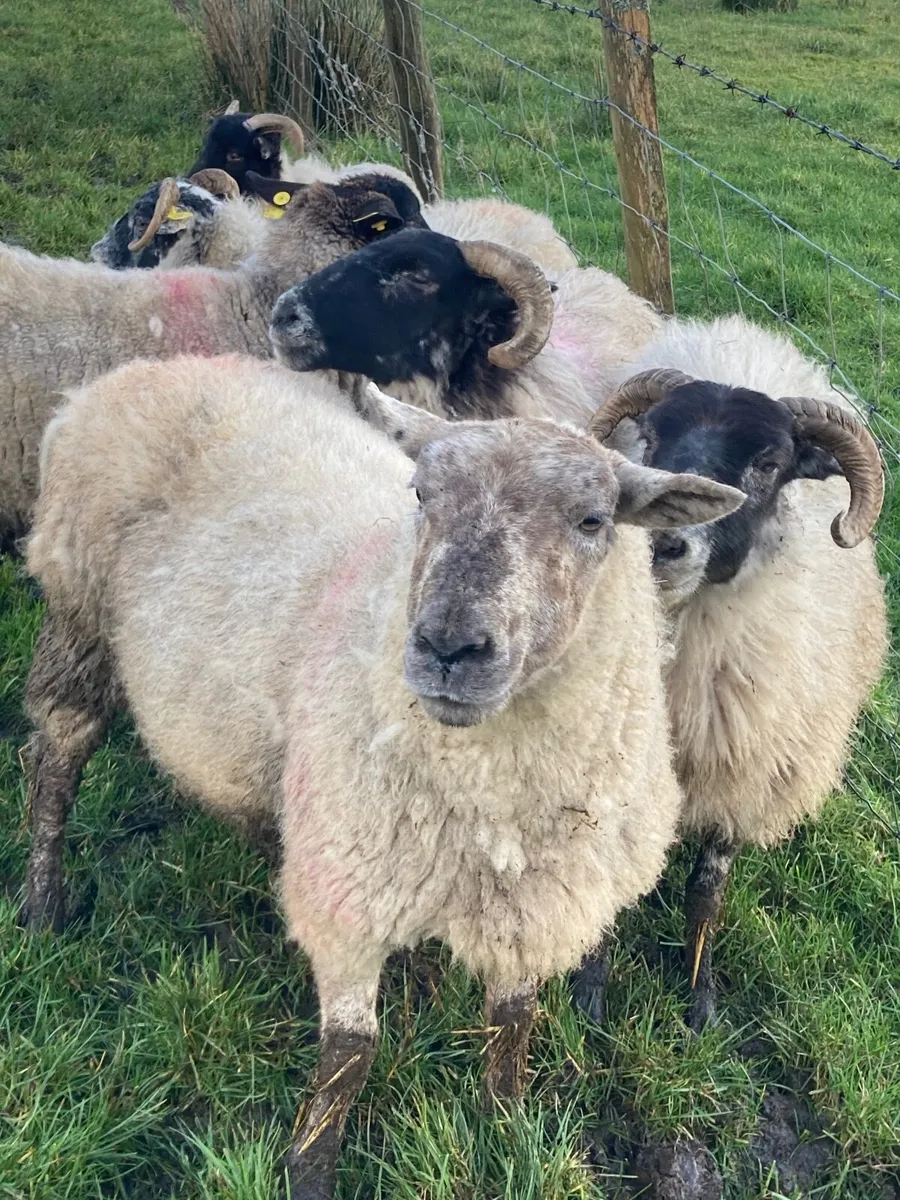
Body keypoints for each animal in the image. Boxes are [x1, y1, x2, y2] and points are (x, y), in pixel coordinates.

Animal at [22, 352, 745, 1195]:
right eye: (422, 495)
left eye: (594, 520)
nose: (449, 647)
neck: (494, 804)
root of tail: (142, 370)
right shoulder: (351, 893)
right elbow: (348, 1060)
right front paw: (310, 1172)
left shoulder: (536, 905)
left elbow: (513, 1028)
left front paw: (506, 1135)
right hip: (77, 606)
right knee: (55, 755)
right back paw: (42, 908)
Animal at [571, 315, 888, 1031]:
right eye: (652, 437)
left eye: (768, 463)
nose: (663, 542)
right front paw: (590, 997)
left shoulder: (745, 777)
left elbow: (706, 894)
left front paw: (701, 1002)